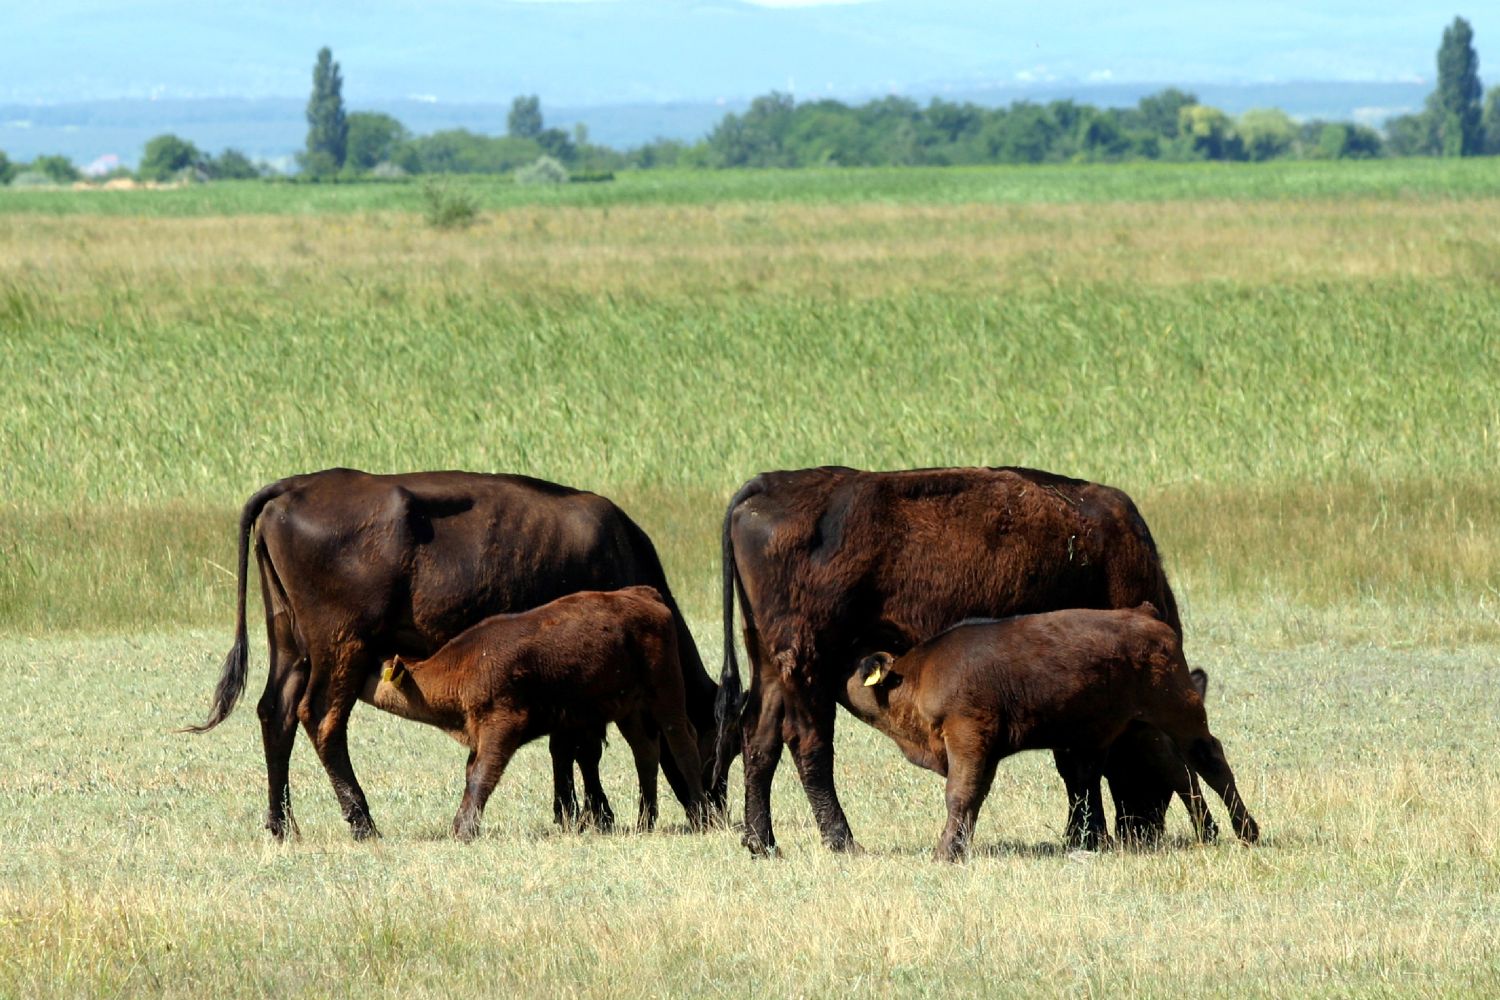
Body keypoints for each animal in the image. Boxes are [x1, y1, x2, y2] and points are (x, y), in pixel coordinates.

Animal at [360, 581, 705, 839]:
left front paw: (464, 830)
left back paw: (703, 816)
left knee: (683, 743)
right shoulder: (480, 732)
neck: (463, 665)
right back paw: (644, 822)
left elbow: (482, 775)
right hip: (629, 710)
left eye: (375, 667)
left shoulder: (503, 724)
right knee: (645, 752)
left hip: (666, 694)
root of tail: (642, 593)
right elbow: (471, 773)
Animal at [711, 464, 1206, 857]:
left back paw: (761, 842)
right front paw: (1086, 835)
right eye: (1162, 760)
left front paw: (1084, 835)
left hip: (770, 661)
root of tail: (766, 486)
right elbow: (1078, 764)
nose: (1144, 830)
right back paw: (842, 840)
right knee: (809, 743)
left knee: (759, 737)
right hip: (808, 662)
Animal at [846, 602, 1254, 863]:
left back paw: (1248, 832)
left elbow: (961, 795)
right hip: (1142, 729)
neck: (918, 674)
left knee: (1209, 758)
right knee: (1179, 771)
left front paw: (945, 854)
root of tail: (1143, 614)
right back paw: (1209, 832)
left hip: (1179, 713)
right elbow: (974, 797)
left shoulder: (968, 736)